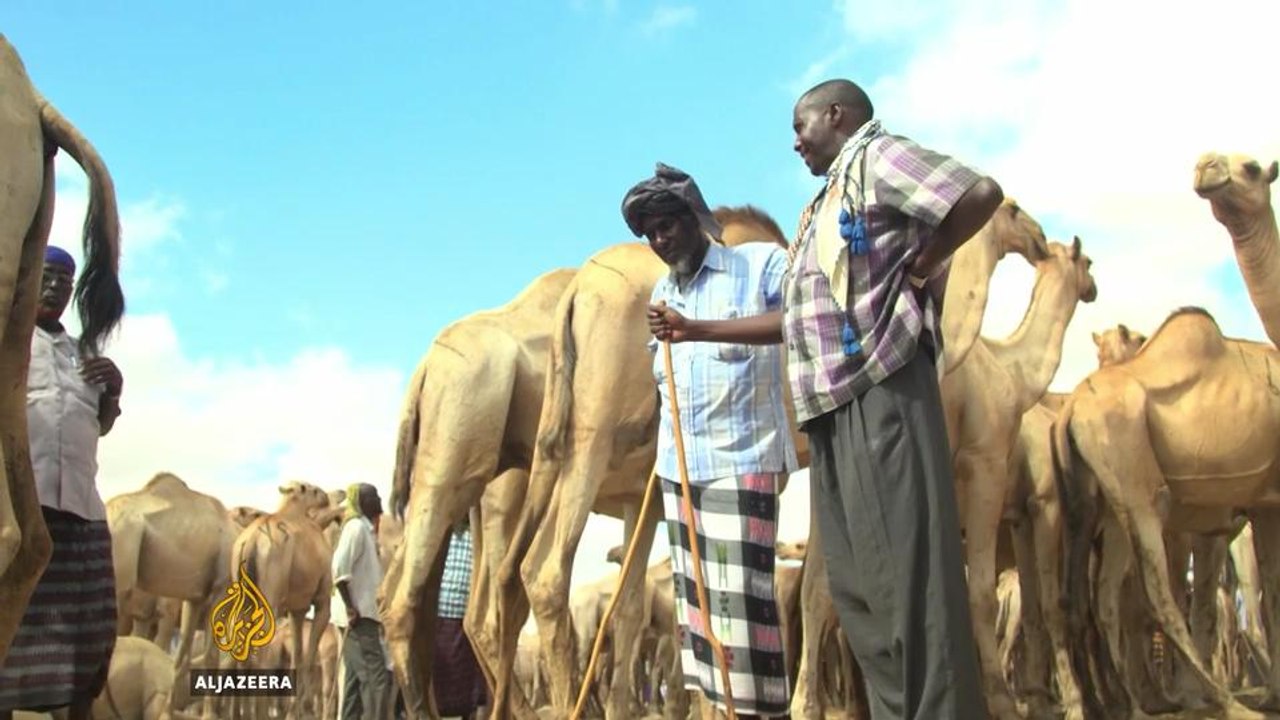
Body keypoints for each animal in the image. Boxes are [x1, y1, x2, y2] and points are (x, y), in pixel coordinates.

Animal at [203, 480, 334, 720]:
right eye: (313, 490)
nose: (325, 497)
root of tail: (251, 541)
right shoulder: (322, 600)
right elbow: (309, 656)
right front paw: (303, 709)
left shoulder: (297, 608)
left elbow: (298, 657)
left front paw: (295, 711)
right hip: (268, 597)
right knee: (259, 654)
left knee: (234, 654)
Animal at [1054, 306, 1280, 719]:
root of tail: (1070, 410)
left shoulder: (1257, 507)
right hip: (1139, 491)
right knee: (1156, 596)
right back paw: (1225, 702)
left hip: (1092, 506)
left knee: (1086, 600)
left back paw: (1118, 704)